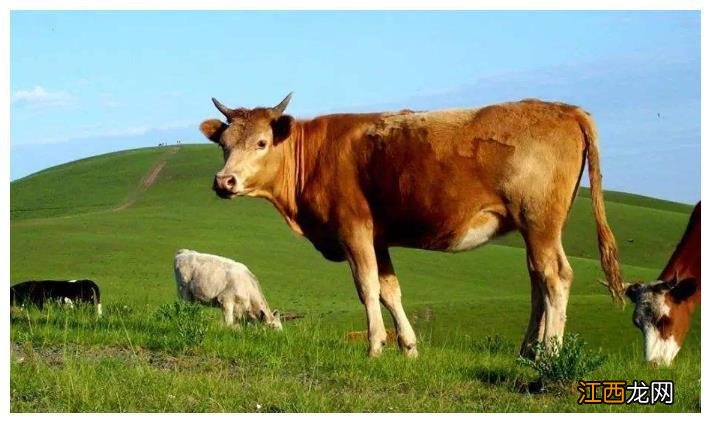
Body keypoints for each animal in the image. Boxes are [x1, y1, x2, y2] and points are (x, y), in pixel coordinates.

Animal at [199, 93, 624, 358]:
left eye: (261, 142)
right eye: (224, 144)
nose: (223, 181)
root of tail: (565, 109)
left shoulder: (353, 229)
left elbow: (367, 288)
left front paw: (375, 346)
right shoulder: (378, 237)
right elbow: (390, 290)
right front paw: (408, 346)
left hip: (539, 221)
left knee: (555, 278)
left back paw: (548, 353)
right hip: (533, 228)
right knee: (538, 281)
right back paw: (527, 351)